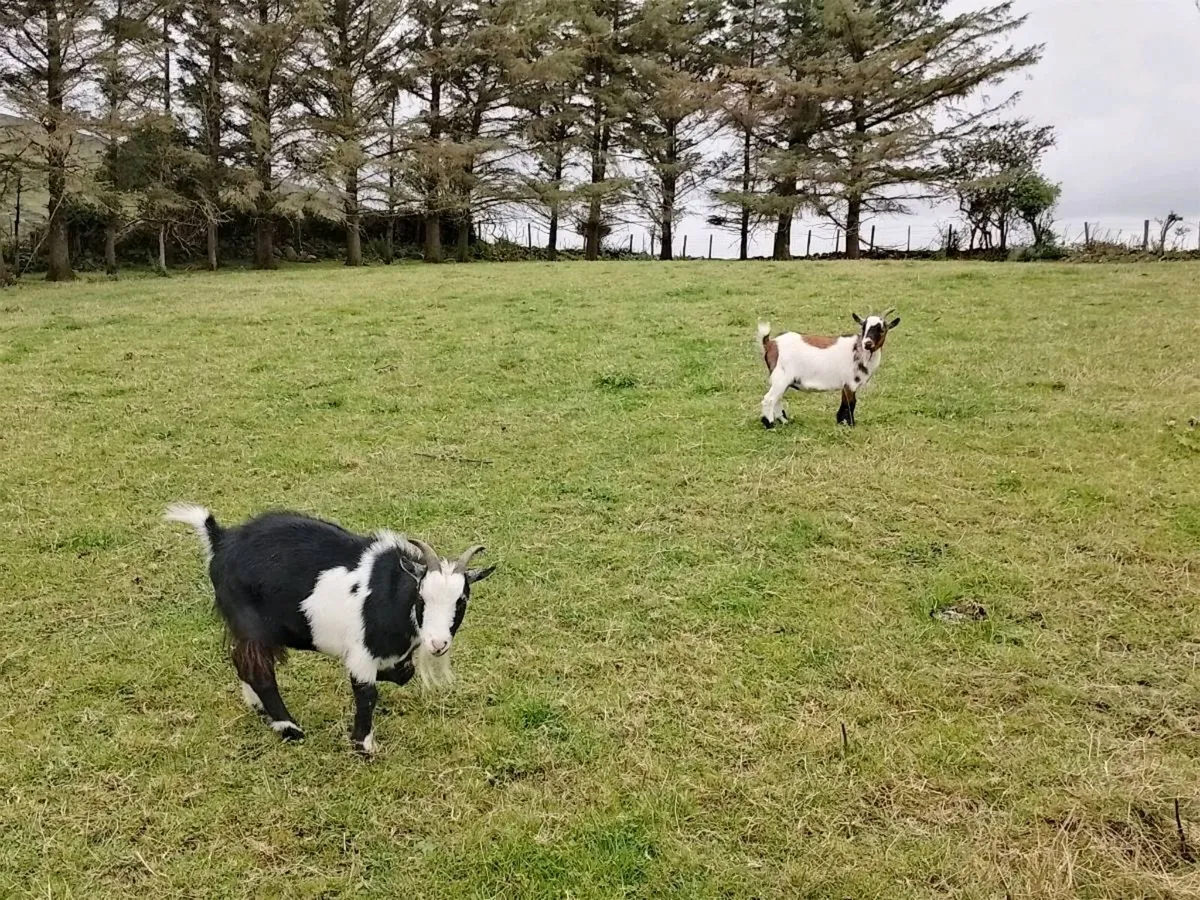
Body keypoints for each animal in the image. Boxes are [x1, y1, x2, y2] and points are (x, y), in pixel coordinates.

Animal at [165, 503, 495, 755]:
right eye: (421, 597)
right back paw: (289, 728)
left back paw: (259, 707)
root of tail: (220, 539)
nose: (438, 644)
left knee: (242, 661)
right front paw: (363, 746)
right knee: (259, 671)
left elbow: (404, 673)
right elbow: (367, 693)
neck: (392, 592)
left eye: (461, 600)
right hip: (249, 622)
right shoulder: (362, 654)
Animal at [758, 309, 900, 427]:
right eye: (863, 327)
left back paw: (784, 421)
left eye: (882, 329)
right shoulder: (850, 383)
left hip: (782, 381)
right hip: (780, 378)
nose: (868, 343)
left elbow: (846, 403)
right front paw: (849, 424)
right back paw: (770, 425)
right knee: (769, 399)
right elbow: (850, 404)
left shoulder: (846, 385)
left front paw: (841, 422)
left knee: (777, 399)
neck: (859, 351)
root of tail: (770, 343)